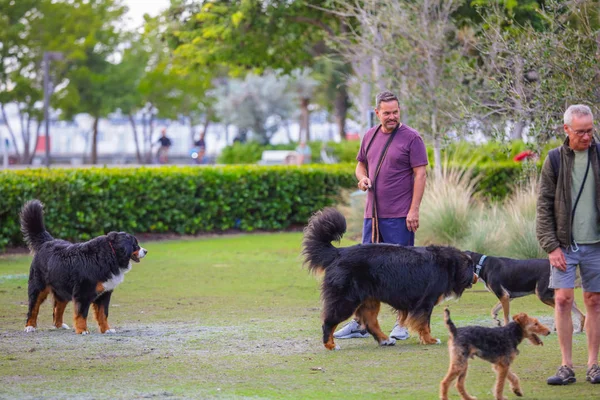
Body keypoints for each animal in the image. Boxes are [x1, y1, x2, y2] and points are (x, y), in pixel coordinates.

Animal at [22, 200, 148, 334]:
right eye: (135, 245)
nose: (146, 251)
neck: (110, 254)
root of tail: (47, 242)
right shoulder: (83, 293)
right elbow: (81, 314)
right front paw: (82, 330)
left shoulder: (105, 293)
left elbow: (103, 314)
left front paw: (106, 329)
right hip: (38, 287)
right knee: (33, 308)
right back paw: (30, 326)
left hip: (62, 288)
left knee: (58, 308)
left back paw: (59, 325)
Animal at [302, 209, 476, 350]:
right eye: (472, 268)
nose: (475, 277)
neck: (448, 264)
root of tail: (339, 252)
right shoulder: (426, 302)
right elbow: (425, 324)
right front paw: (430, 340)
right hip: (346, 299)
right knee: (329, 321)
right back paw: (330, 344)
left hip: (369, 299)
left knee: (371, 322)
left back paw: (385, 340)